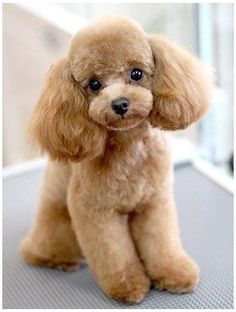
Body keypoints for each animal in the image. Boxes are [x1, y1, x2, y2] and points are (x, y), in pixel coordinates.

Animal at [19, 15, 212, 302]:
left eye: (136, 73)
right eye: (94, 84)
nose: (120, 104)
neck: (128, 146)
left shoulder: (153, 203)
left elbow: (162, 242)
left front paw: (173, 272)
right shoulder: (96, 212)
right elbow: (113, 253)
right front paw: (127, 284)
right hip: (60, 227)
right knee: (42, 251)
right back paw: (59, 260)